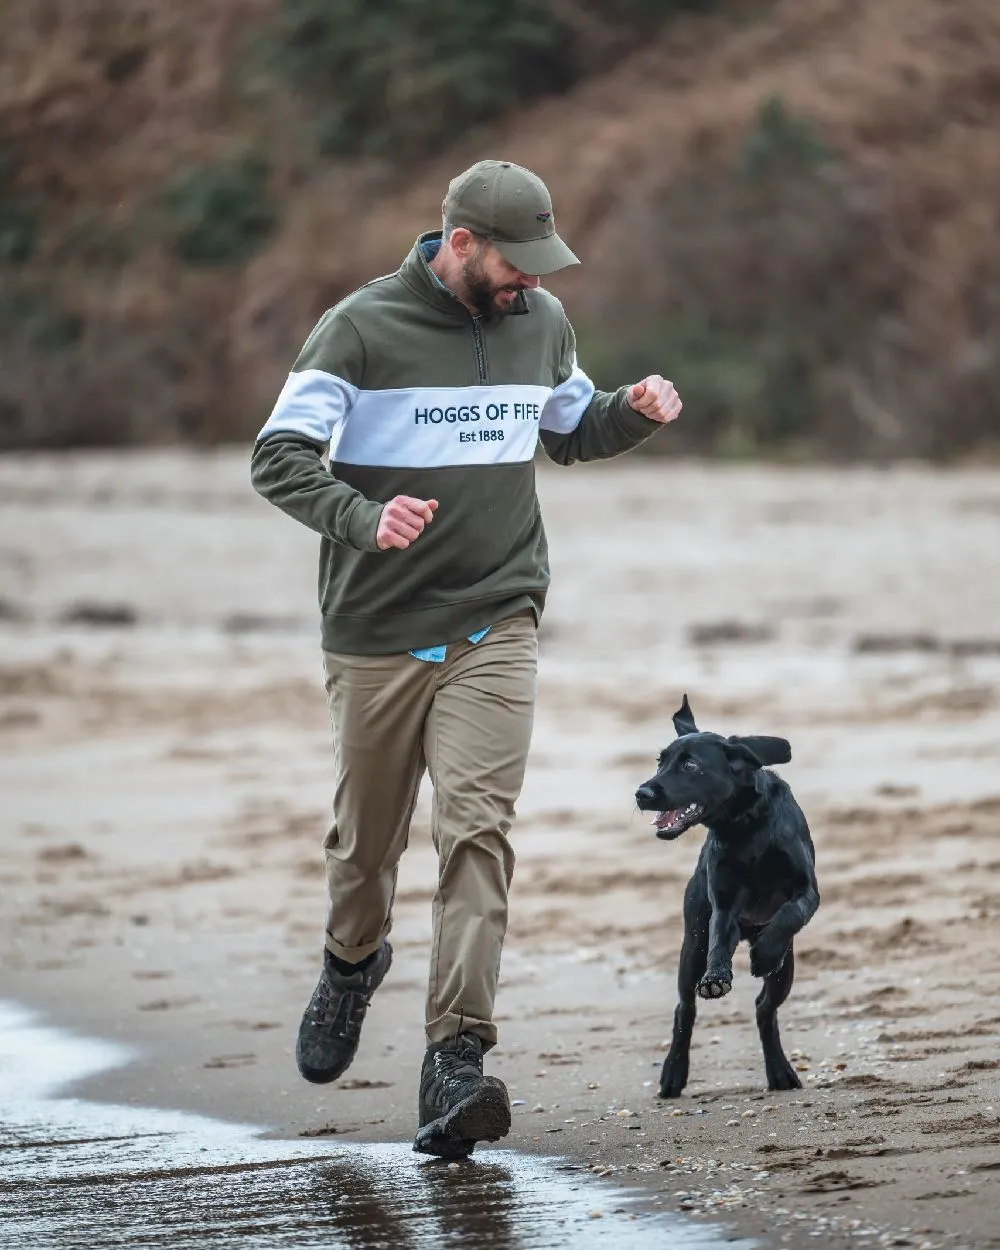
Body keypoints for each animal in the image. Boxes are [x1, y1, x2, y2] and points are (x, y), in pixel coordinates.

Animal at [632, 695, 820, 1095]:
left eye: (690, 765)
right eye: (660, 762)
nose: (642, 793)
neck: (743, 825)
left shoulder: (807, 891)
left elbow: (789, 914)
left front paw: (764, 954)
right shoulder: (722, 905)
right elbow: (719, 939)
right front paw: (716, 977)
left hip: (787, 971)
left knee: (765, 1008)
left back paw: (780, 1071)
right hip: (691, 947)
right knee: (685, 1009)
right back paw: (674, 1073)